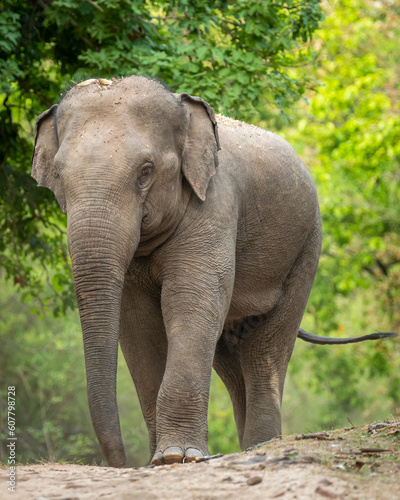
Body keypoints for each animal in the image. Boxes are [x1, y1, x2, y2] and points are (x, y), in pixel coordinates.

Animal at [32, 76, 396, 466]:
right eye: (59, 174)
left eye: (146, 171)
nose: (123, 463)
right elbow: (138, 322)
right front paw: (160, 460)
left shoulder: (216, 204)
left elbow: (191, 300)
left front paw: (177, 457)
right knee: (232, 362)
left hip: (307, 248)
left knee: (267, 348)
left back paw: (261, 446)